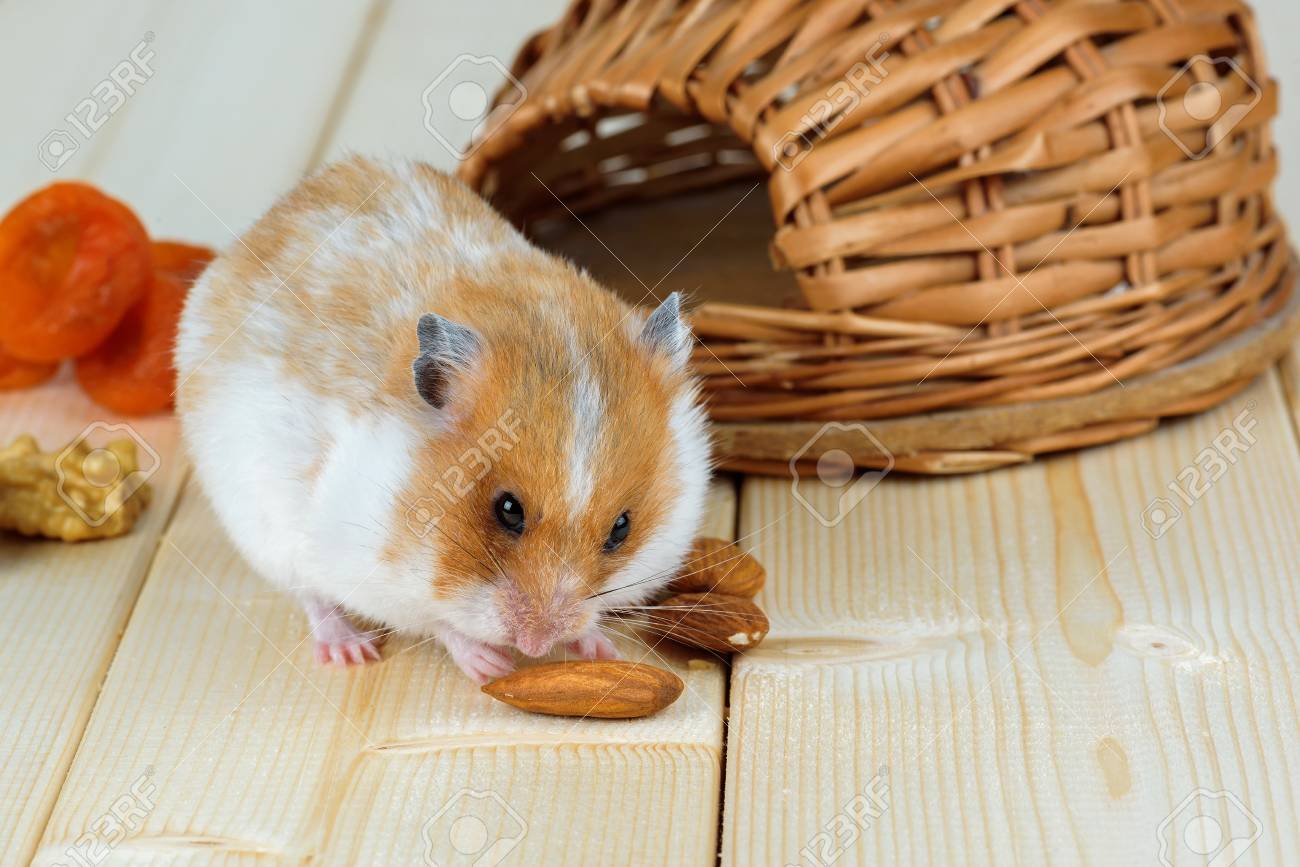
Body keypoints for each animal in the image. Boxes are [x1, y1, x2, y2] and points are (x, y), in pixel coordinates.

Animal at [174, 156, 711, 683]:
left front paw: (599, 648)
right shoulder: (362, 563)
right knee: (312, 594)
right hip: (265, 528)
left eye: (621, 528)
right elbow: (435, 621)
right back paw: (349, 650)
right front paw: (491, 667)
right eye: (508, 509)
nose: (535, 645)